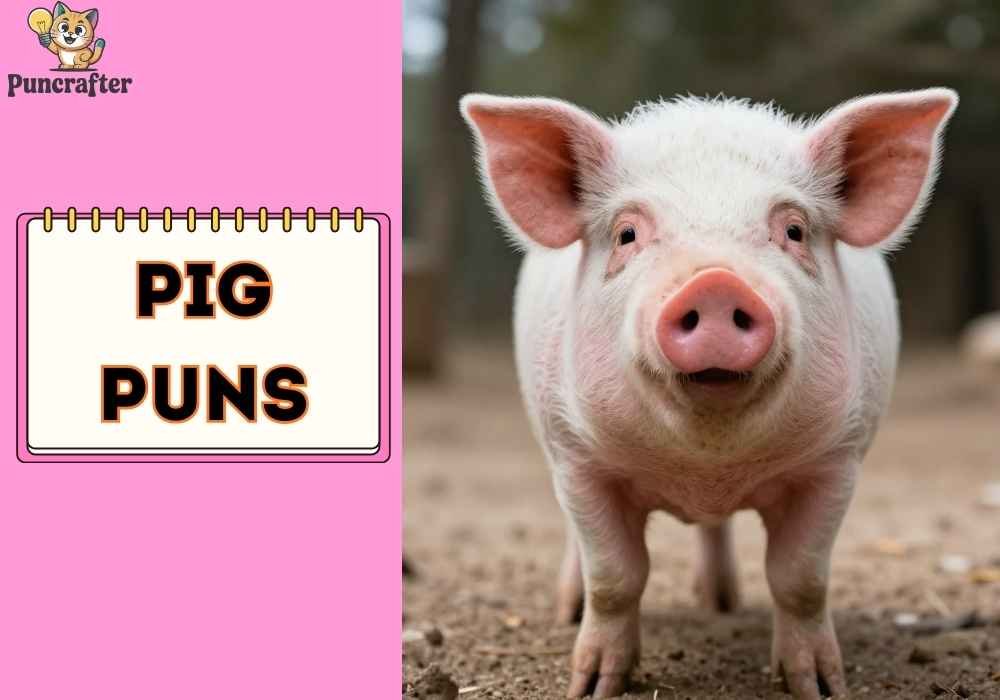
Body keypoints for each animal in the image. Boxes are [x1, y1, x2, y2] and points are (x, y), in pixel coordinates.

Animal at [460, 88, 957, 699]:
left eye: (794, 231)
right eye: (627, 234)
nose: (716, 282)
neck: (706, 468)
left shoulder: (835, 461)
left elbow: (801, 577)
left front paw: (819, 686)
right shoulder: (579, 459)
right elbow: (614, 576)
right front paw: (593, 687)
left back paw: (722, 603)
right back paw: (570, 610)